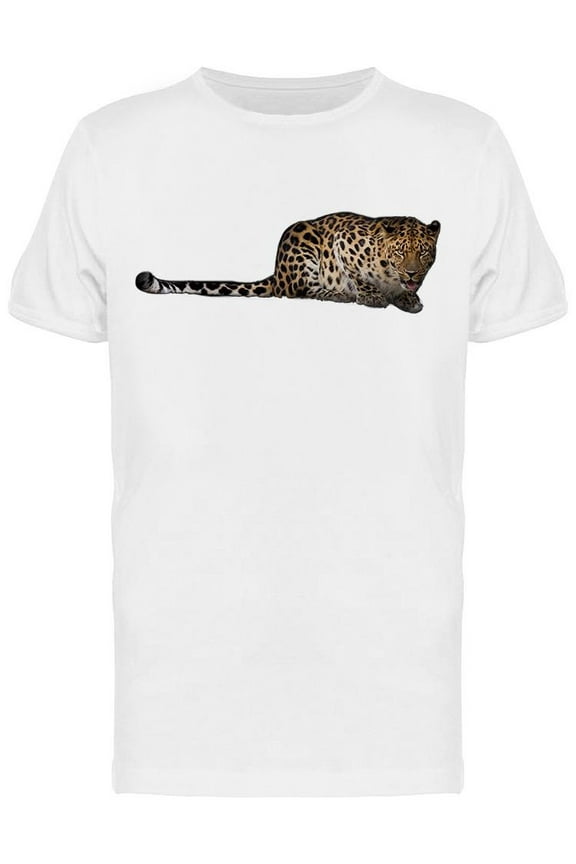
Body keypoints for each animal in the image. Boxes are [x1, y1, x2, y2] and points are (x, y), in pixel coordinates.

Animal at [136, 212, 440, 314]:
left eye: (424, 253)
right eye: (400, 252)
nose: (411, 274)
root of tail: (277, 272)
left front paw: (410, 298)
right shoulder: (343, 240)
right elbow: (358, 275)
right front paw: (372, 296)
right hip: (302, 246)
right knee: (296, 291)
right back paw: (338, 294)